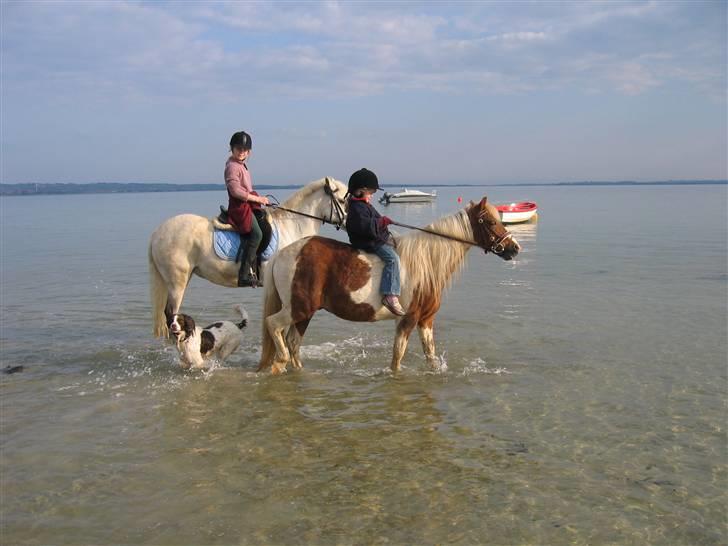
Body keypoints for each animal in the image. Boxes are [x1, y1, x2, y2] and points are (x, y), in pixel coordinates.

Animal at [258, 197, 520, 374]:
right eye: (489, 221)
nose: (514, 248)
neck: (426, 262)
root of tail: (284, 253)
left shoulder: (426, 320)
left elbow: (430, 354)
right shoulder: (408, 319)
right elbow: (397, 356)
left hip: (305, 313)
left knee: (293, 343)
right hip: (298, 309)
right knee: (274, 327)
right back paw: (279, 361)